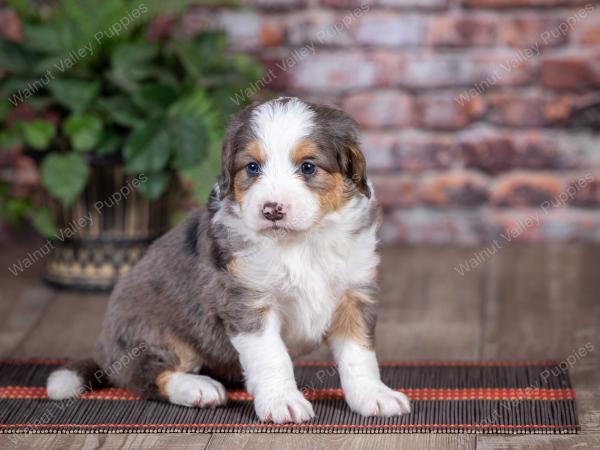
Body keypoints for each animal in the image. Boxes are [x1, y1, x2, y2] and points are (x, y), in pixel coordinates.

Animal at [48, 97, 412, 422]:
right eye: (252, 167)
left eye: (308, 166)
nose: (272, 209)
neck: (299, 243)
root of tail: (104, 352)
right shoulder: (246, 300)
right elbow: (272, 357)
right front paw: (283, 402)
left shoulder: (355, 292)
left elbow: (359, 355)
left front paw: (374, 396)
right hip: (149, 335)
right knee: (148, 375)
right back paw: (198, 388)